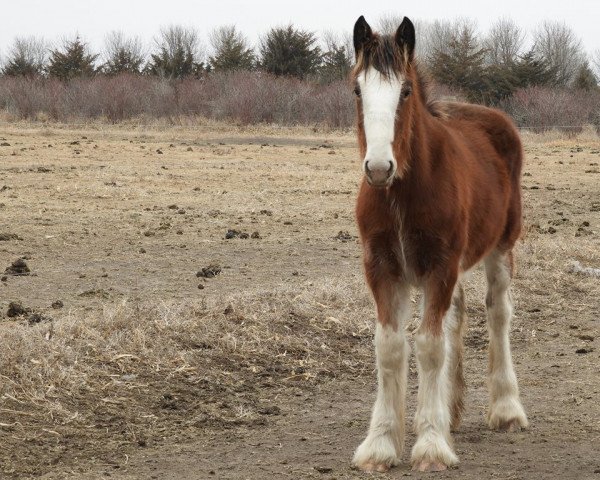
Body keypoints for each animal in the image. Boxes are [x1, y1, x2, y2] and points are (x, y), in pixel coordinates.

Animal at [350, 15, 528, 472]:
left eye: (405, 90)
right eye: (358, 90)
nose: (379, 167)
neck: (401, 193)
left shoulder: (440, 266)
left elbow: (429, 348)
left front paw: (431, 445)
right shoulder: (382, 268)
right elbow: (390, 347)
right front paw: (381, 444)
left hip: (500, 248)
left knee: (498, 314)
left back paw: (506, 408)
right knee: (455, 318)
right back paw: (451, 409)